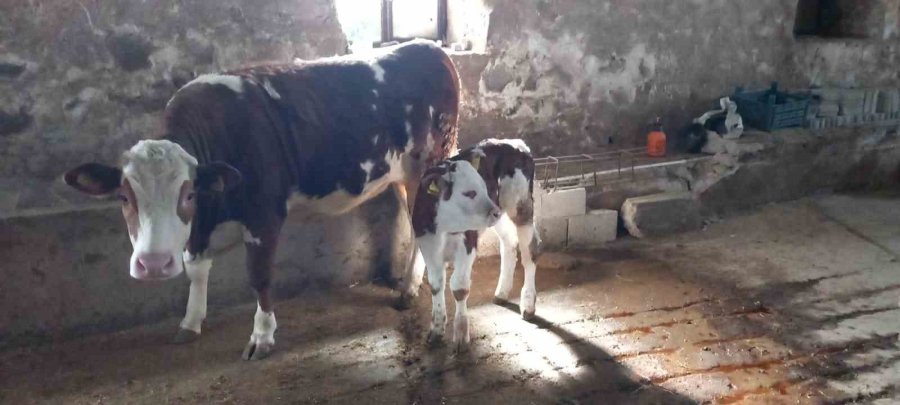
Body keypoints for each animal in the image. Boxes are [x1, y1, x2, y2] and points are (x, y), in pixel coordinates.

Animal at [61, 39, 464, 358]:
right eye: (124, 197)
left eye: (187, 192)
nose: (154, 264)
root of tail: (429, 47)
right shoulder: (202, 221)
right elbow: (196, 266)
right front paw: (191, 321)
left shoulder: (263, 213)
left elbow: (258, 275)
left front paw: (262, 336)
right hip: (402, 175)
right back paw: (408, 288)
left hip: (430, 164)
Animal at [410, 139, 540, 350]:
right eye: (469, 193)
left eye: (483, 187)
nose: (494, 211)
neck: (446, 226)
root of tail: (514, 143)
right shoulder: (427, 244)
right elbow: (436, 285)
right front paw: (436, 330)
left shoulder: (467, 244)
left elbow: (459, 287)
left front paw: (461, 335)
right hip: (501, 215)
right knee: (509, 243)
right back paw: (502, 292)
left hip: (521, 206)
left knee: (530, 252)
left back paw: (528, 304)